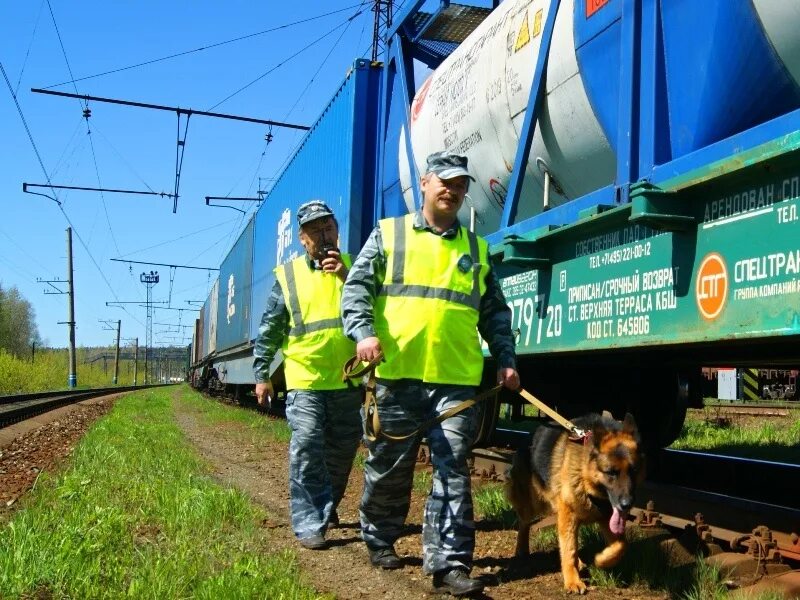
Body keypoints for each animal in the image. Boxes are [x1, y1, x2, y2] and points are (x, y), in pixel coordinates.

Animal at [506, 410, 644, 592]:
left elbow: (620, 546)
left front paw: (601, 560)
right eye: (611, 473)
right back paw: (522, 548)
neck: (586, 478)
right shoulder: (569, 514)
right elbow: (569, 549)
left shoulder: (604, 517)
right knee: (524, 523)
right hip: (533, 504)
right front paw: (572, 581)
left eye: (633, 471)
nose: (626, 505)